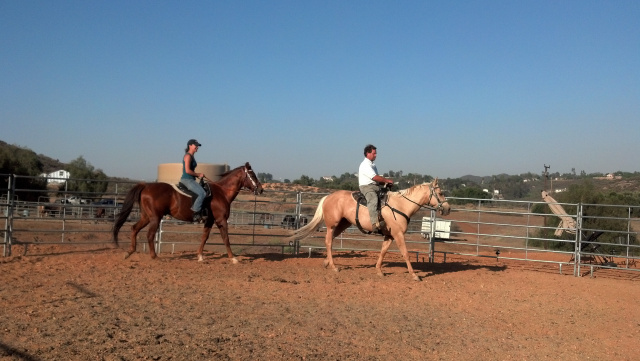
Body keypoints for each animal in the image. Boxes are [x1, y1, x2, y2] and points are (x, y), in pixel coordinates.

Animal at [112, 162, 262, 262]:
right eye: (252, 174)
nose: (260, 189)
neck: (221, 192)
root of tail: (146, 186)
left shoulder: (210, 220)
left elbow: (204, 237)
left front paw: (200, 256)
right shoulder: (221, 220)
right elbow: (226, 238)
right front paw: (233, 258)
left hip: (146, 216)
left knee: (134, 228)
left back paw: (129, 252)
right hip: (155, 217)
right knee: (149, 235)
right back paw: (154, 256)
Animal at [286, 179, 450, 280]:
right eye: (441, 193)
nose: (448, 208)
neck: (401, 205)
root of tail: (328, 197)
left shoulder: (389, 236)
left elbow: (383, 252)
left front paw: (379, 270)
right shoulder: (398, 234)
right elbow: (405, 254)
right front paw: (414, 275)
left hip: (343, 224)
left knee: (330, 240)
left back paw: (327, 263)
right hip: (332, 224)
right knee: (328, 241)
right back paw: (333, 266)